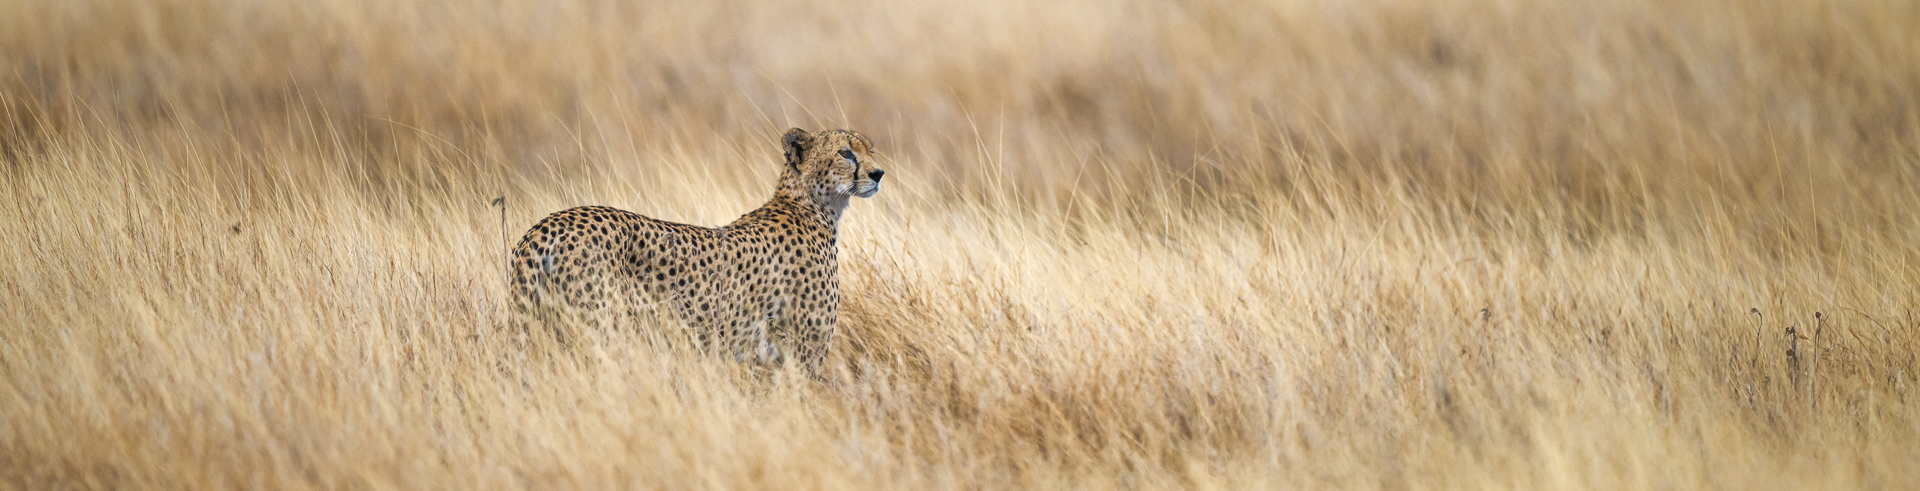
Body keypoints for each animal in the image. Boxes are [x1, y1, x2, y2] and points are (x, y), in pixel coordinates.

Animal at [510, 125, 890, 372]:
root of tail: (549, 223)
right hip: (603, 329)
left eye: (870, 150)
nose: (878, 173)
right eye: (845, 152)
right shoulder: (801, 353)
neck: (813, 206)